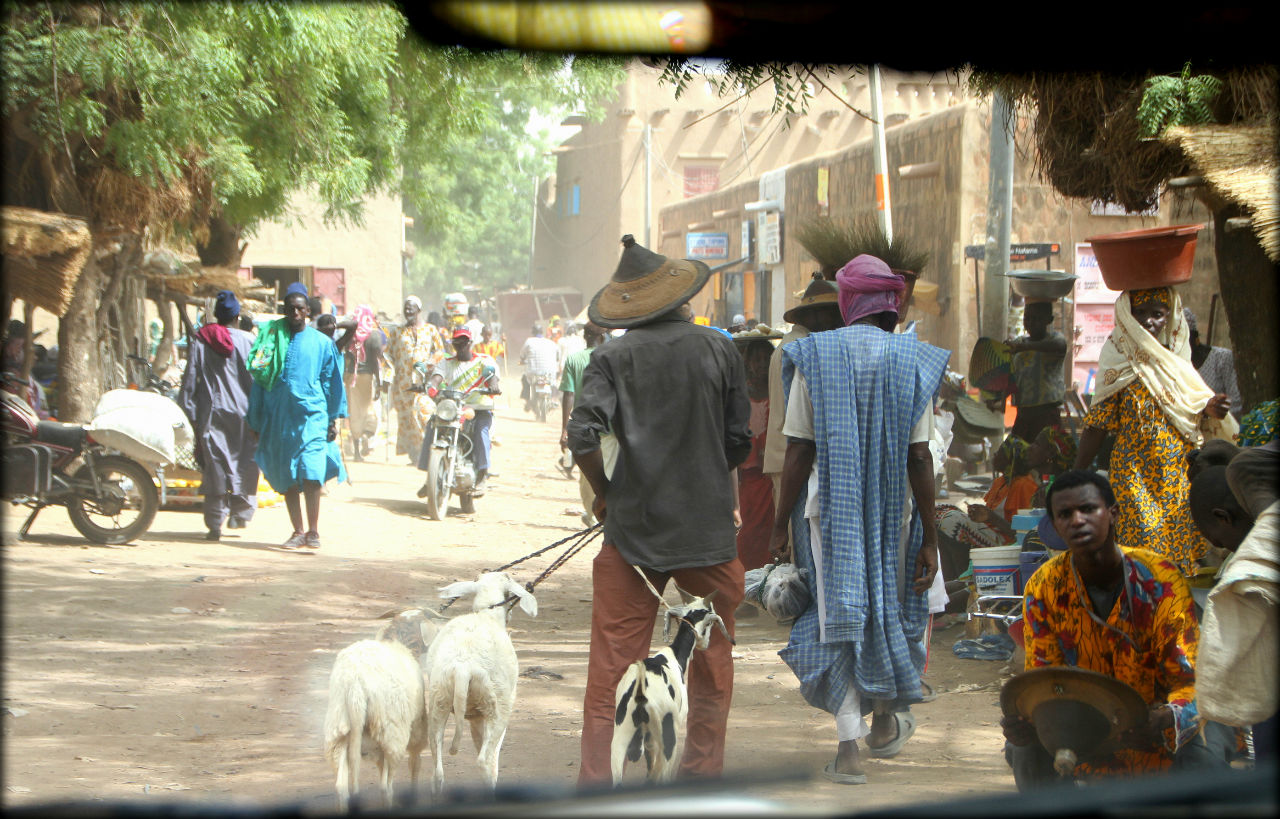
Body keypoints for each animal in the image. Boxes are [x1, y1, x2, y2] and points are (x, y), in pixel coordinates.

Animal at [325, 604, 445, 808]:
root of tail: (356, 685)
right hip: (391, 732)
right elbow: (415, 760)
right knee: (385, 787)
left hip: (339, 730)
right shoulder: (416, 725)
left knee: (341, 787)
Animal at [424, 573, 535, 798]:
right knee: (486, 761)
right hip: (496, 705)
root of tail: (463, 666)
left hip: (439, 700)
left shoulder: (475, 715)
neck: (487, 614)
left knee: (437, 772)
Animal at [606, 586, 732, 783]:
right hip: (668, 739)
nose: (706, 644)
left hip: (620, 737)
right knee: (663, 774)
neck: (673, 655)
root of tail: (641, 691)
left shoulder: (649, 740)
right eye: (710, 623)